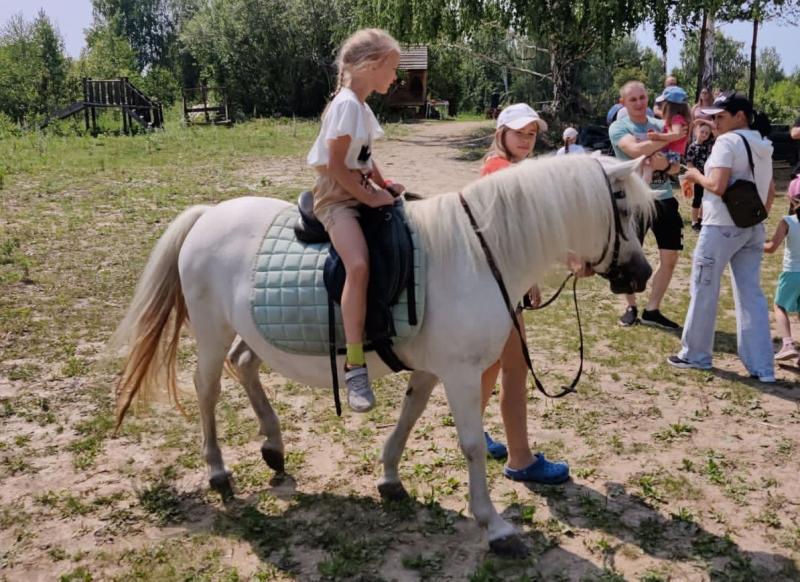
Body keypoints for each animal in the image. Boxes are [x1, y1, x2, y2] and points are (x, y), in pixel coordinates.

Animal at [112, 154, 652, 556]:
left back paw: (273, 448)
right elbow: (472, 446)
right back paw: (218, 471)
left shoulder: (433, 371)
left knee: (244, 365)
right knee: (207, 389)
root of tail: (208, 214)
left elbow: (409, 419)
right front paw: (494, 526)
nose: (642, 274)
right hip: (211, 331)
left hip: (248, 332)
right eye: (624, 210)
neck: (479, 255)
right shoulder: (459, 374)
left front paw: (390, 478)